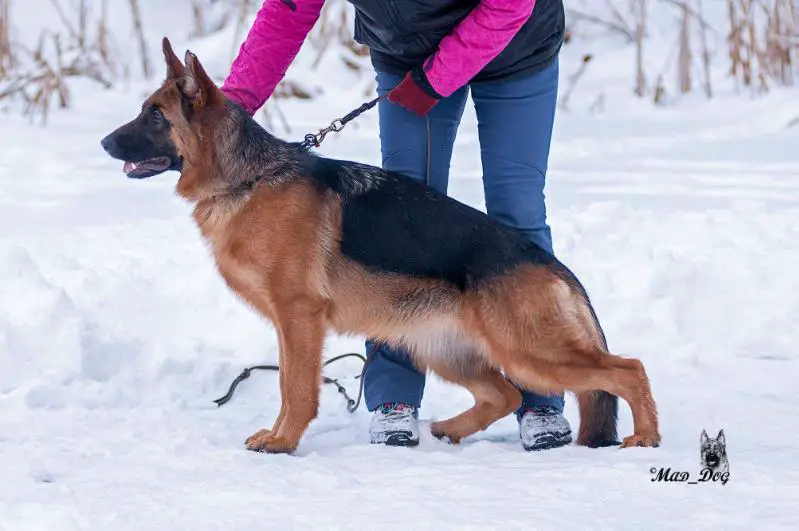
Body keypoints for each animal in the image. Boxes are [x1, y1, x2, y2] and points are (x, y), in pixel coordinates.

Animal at [101, 38, 664, 454]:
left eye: (156, 116)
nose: (104, 142)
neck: (248, 178)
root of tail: (554, 267)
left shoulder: (299, 317)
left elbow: (295, 388)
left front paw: (284, 442)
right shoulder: (290, 325)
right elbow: (288, 384)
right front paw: (280, 435)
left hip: (529, 351)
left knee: (627, 370)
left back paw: (645, 436)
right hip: (439, 348)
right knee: (504, 392)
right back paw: (450, 429)